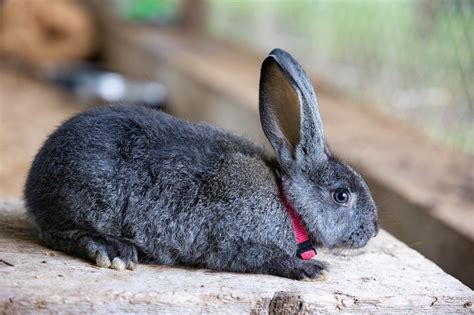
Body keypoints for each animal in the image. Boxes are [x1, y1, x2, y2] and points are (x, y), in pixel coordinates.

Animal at [24, 48, 378, 280]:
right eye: (342, 196)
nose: (374, 230)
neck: (288, 204)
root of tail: (33, 181)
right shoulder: (233, 243)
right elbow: (268, 257)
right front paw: (311, 269)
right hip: (87, 200)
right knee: (57, 234)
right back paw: (114, 252)